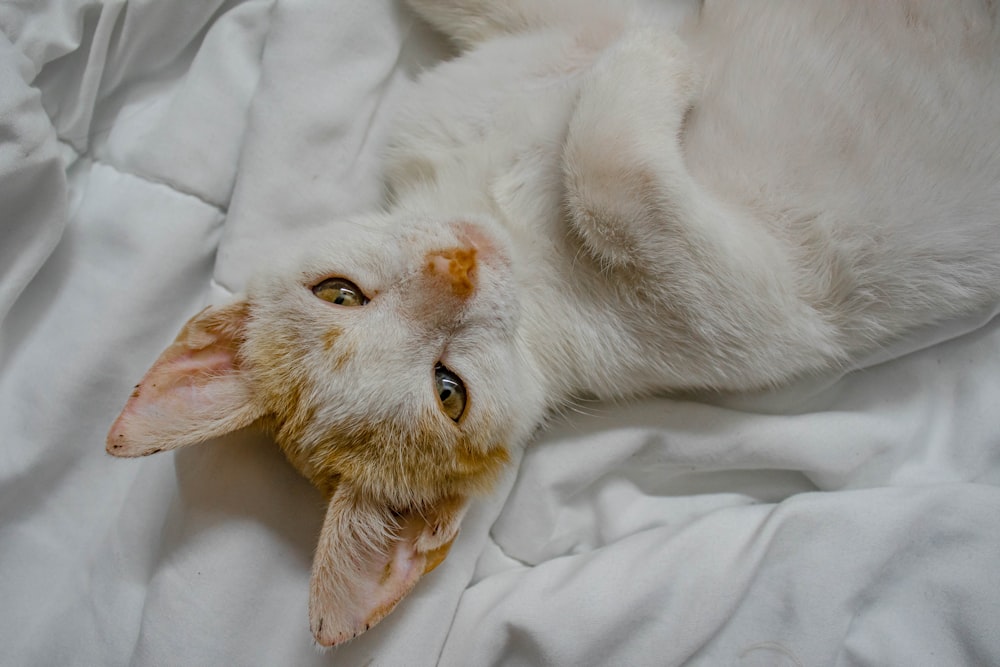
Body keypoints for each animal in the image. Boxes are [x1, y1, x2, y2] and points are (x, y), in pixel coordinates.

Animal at [103, 0, 1000, 648]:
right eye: (449, 390)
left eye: (340, 293)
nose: (459, 266)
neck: (504, 208)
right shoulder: (767, 306)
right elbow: (609, 173)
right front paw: (659, 54)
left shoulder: (516, 59)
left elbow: (531, 17)